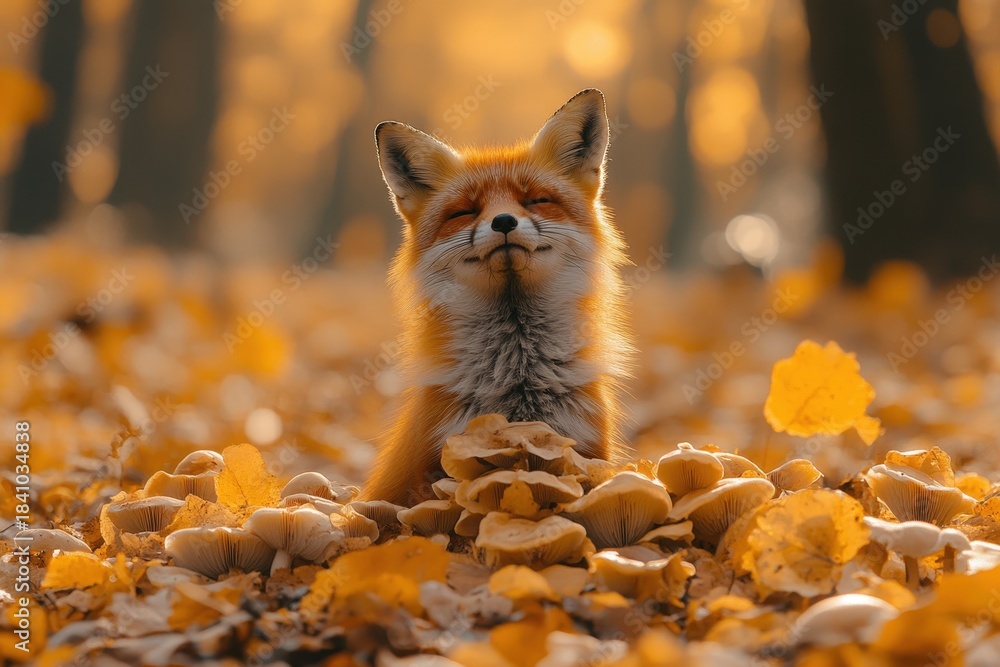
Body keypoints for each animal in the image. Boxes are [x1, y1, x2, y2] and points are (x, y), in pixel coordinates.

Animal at [362, 89, 633, 506]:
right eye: (464, 211)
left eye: (536, 201)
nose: (503, 221)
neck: (519, 374)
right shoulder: (434, 458)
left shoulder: (586, 446)